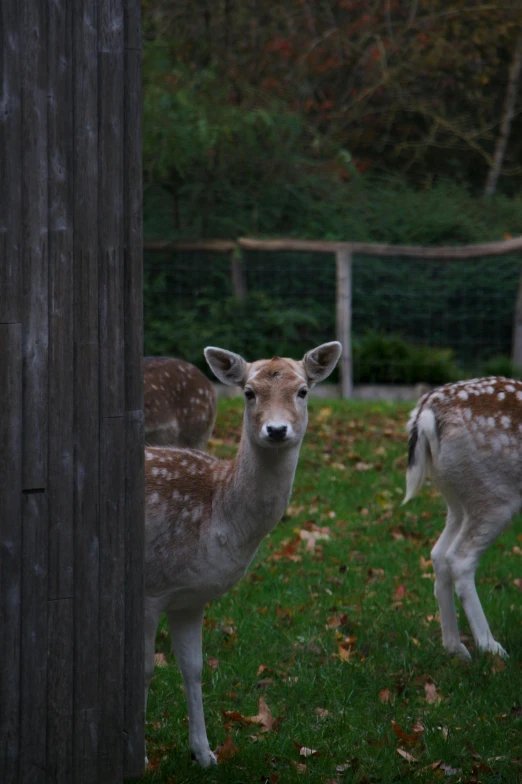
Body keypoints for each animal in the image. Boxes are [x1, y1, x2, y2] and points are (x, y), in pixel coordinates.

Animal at [142, 338, 342, 764]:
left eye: (303, 391)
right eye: (249, 392)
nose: (277, 429)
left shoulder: (189, 597)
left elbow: (193, 668)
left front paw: (205, 754)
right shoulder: (149, 588)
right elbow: (145, 669)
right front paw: (142, 759)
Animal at [402, 376, 520, 660]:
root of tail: (424, 415)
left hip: (456, 498)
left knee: (438, 553)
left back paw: (456, 648)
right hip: (495, 498)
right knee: (460, 559)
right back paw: (491, 647)